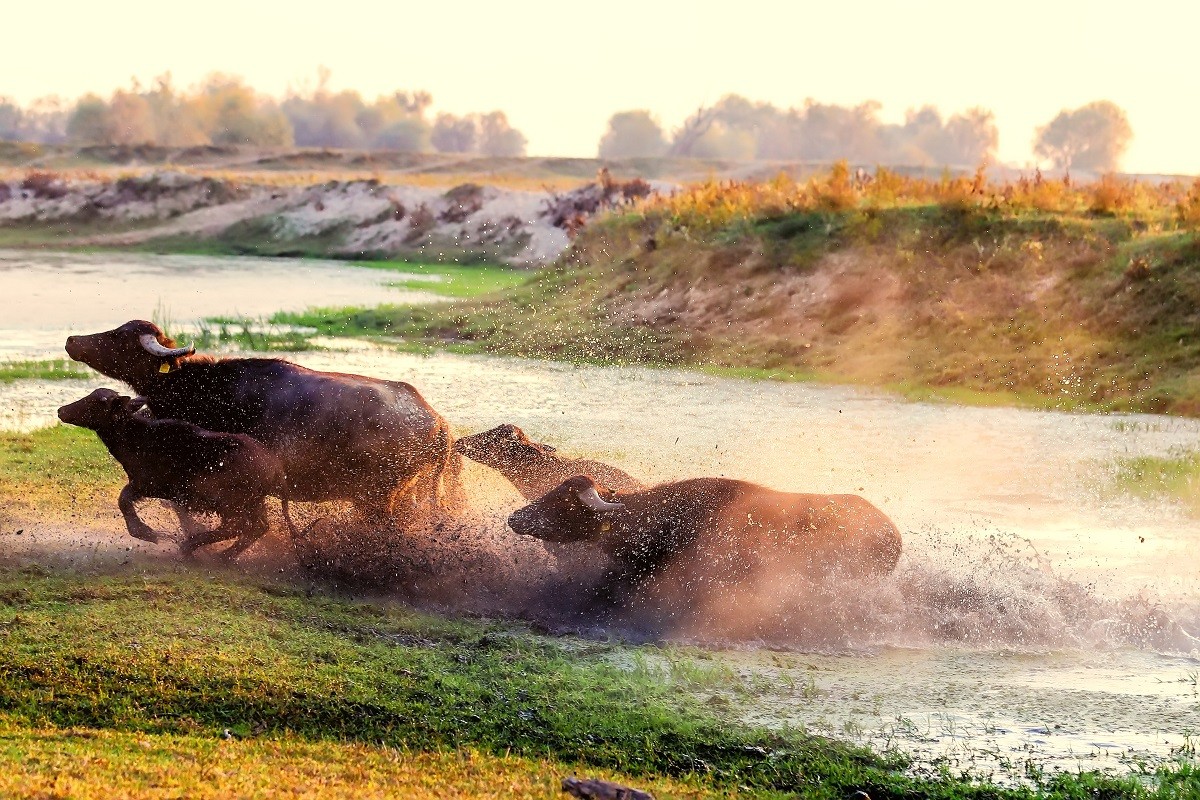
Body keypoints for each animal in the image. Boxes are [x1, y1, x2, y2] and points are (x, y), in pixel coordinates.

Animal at [58, 388, 300, 558]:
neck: (133, 440)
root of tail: (276, 469)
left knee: (238, 526)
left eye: (97, 401)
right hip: (254, 501)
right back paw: (223, 556)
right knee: (259, 526)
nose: (61, 410)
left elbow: (124, 501)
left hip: (230, 500)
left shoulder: (147, 484)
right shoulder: (168, 494)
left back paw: (191, 547)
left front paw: (151, 533)